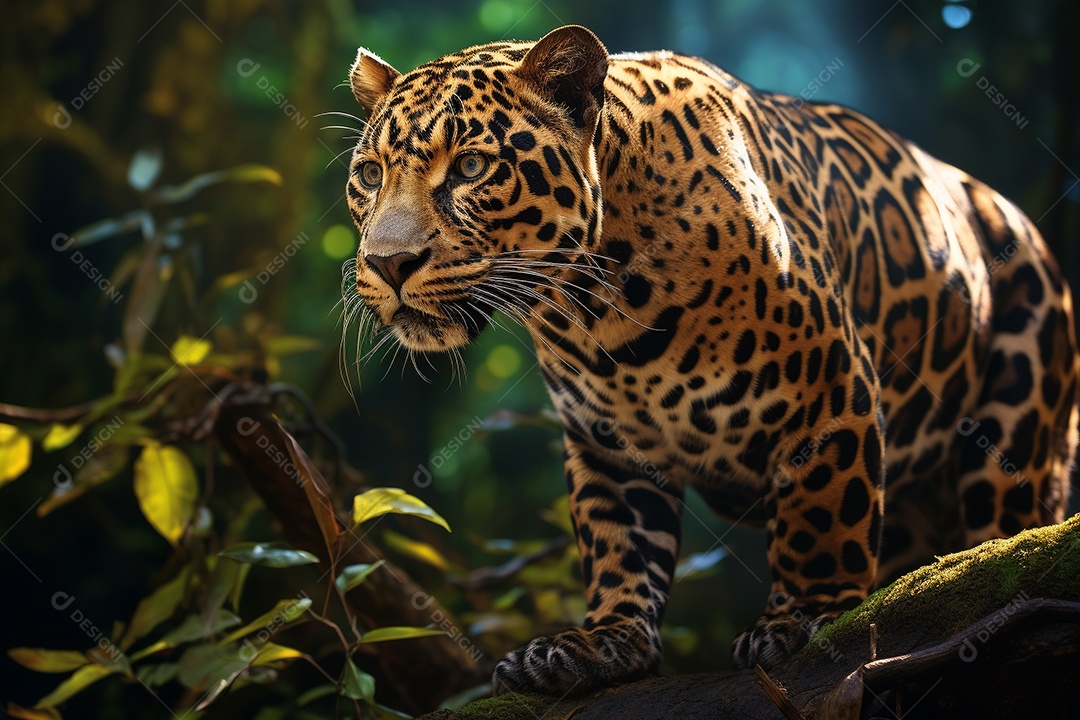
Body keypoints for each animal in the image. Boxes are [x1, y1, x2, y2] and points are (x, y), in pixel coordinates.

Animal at [343, 25, 1079, 696]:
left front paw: (804, 619)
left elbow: (820, 518)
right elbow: (618, 545)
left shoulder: (832, 393)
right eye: (370, 176)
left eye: (470, 168)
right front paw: (602, 643)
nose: (388, 263)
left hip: (1015, 439)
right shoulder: (607, 444)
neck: (594, 309)